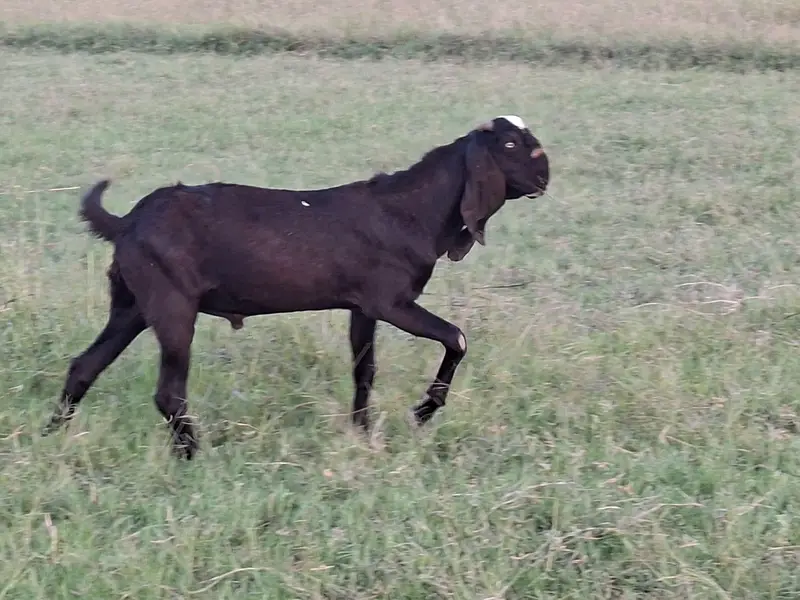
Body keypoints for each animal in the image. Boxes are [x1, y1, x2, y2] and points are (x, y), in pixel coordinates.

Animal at [42, 115, 550, 459]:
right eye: (509, 143)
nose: (545, 176)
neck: (409, 209)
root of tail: (127, 222)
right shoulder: (392, 301)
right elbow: (457, 338)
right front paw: (422, 411)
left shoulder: (362, 306)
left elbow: (364, 370)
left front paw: (362, 433)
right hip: (171, 304)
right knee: (168, 392)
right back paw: (192, 455)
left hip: (131, 304)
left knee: (84, 366)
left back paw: (51, 436)